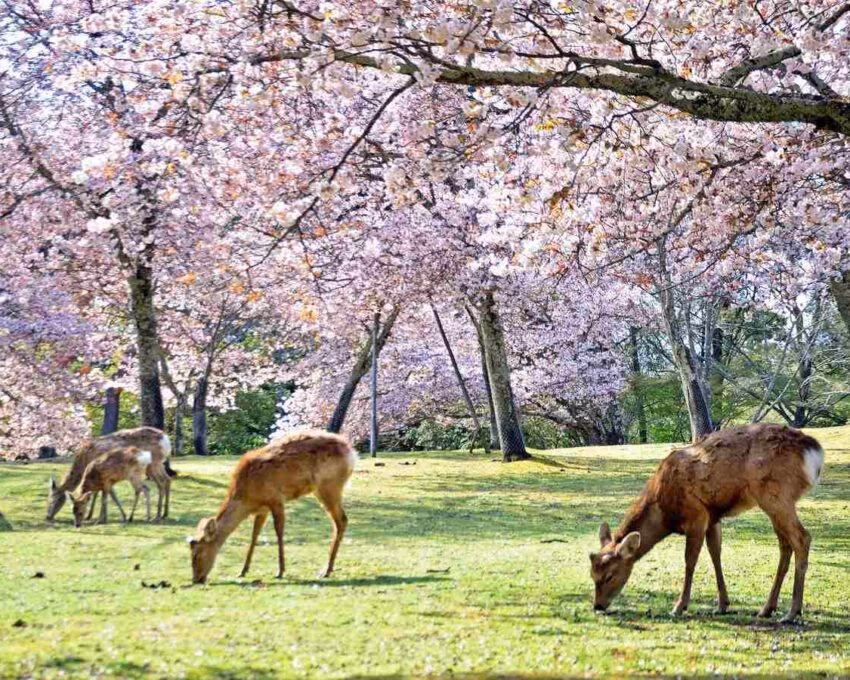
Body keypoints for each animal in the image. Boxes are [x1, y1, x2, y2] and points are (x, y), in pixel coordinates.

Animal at [188, 429, 356, 585]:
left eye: (197, 553)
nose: (196, 579)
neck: (247, 498)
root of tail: (352, 453)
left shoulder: (275, 499)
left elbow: (279, 532)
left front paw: (280, 571)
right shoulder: (262, 509)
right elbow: (254, 535)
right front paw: (243, 571)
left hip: (328, 486)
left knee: (341, 520)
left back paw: (325, 570)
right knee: (340, 521)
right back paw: (328, 569)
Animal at [589, 423, 824, 623]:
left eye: (610, 575)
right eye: (592, 574)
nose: (598, 606)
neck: (664, 511)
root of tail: (815, 452)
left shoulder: (697, 514)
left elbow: (690, 561)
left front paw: (679, 606)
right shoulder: (713, 518)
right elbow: (715, 554)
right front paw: (723, 605)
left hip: (776, 495)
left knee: (802, 538)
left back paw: (792, 612)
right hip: (775, 502)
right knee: (786, 545)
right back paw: (767, 609)